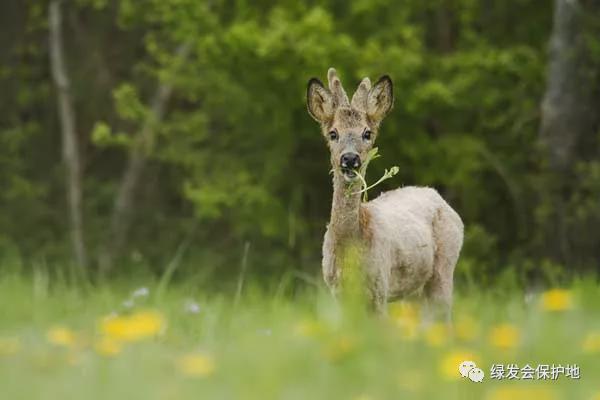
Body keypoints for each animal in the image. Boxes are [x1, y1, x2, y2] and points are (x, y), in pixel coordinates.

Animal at [304, 67, 464, 320]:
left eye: (367, 133)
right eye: (333, 133)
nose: (350, 159)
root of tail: (438, 197)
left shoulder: (380, 285)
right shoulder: (337, 290)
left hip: (445, 266)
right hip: (414, 290)